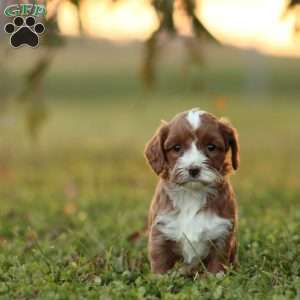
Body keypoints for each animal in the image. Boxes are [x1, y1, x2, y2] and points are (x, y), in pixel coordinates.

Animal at [144, 108, 240, 274]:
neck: (192, 194)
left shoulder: (222, 233)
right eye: (176, 148)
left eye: (211, 147)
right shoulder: (160, 231)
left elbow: (217, 264)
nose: (193, 169)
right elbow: (160, 263)